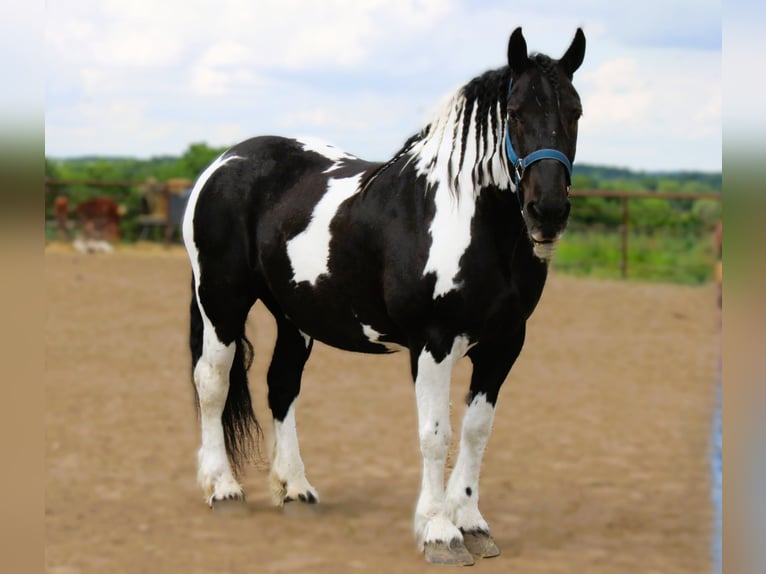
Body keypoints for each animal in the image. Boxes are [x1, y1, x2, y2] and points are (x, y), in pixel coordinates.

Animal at [182, 26, 586, 565]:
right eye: (516, 112)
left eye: (575, 111)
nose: (548, 211)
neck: (465, 222)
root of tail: (225, 163)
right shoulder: (434, 343)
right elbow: (436, 434)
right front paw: (439, 532)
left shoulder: (504, 345)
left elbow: (477, 430)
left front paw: (472, 522)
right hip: (221, 302)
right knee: (213, 383)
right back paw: (223, 489)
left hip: (294, 316)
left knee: (281, 386)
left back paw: (297, 490)